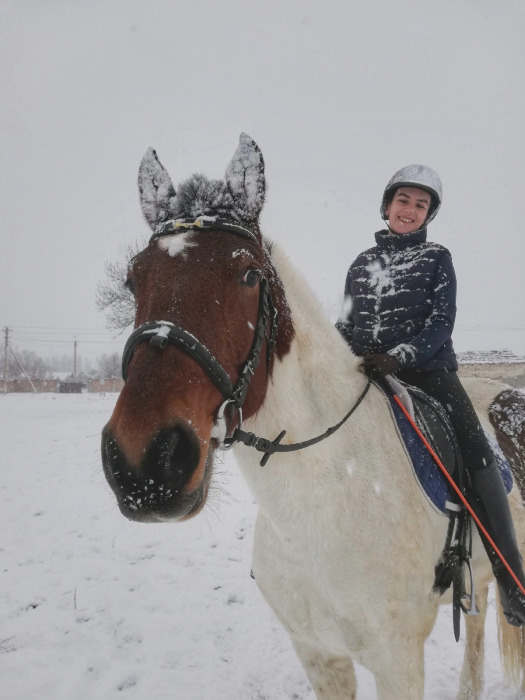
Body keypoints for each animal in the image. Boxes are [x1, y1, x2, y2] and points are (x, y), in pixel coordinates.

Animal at [101, 133, 525, 699]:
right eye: (133, 279)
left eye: (248, 273)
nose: (146, 462)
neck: (320, 496)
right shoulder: (318, 653)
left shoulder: (398, 659)